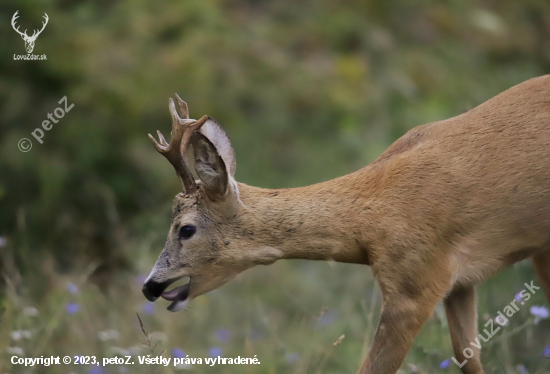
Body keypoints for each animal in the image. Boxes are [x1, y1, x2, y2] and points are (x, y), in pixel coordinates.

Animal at [143, 76, 550, 374]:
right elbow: (470, 359)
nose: (149, 286)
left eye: (186, 228)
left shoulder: (414, 285)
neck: (372, 218)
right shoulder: (459, 285)